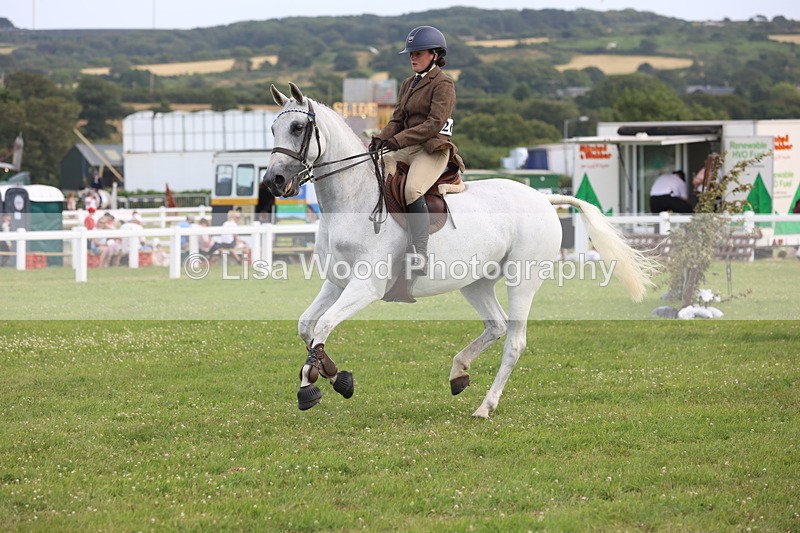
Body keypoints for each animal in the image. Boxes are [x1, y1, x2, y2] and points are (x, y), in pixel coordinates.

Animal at [263, 83, 655, 418]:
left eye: (298, 127)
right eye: (272, 128)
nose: (273, 182)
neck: (353, 200)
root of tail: (544, 199)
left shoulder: (366, 286)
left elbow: (325, 324)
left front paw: (311, 386)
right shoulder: (337, 282)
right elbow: (307, 326)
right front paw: (333, 376)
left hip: (522, 280)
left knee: (514, 341)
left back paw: (485, 406)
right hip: (476, 282)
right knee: (496, 325)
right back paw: (459, 372)